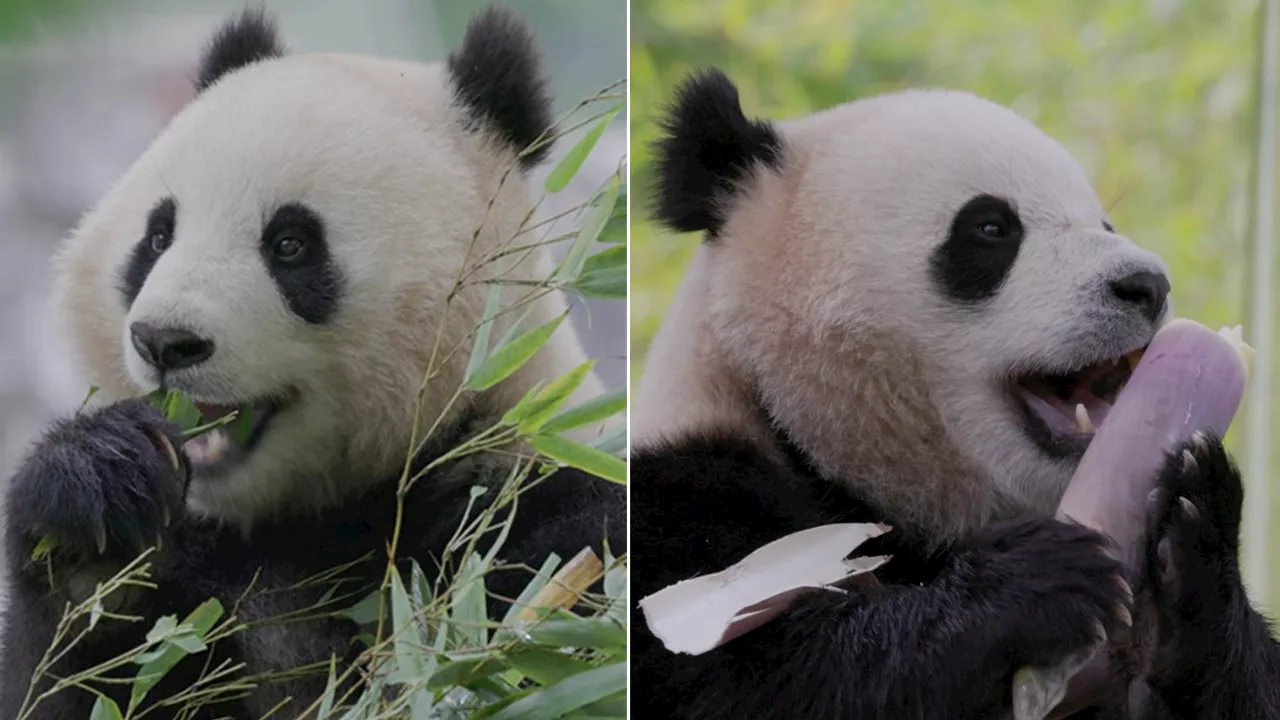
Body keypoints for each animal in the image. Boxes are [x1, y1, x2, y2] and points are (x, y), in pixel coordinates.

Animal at [0, 8, 624, 712]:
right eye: (157, 236)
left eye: (290, 244)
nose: (164, 341)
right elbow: (68, 678)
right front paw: (97, 508)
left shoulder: (520, 495)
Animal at [632, 68, 1280, 717]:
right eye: (991, 227)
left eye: (1105, 226)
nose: (1146, 285)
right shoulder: (685, 499)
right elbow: (765, 677)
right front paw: (1037, 578)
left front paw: (1196, 514)